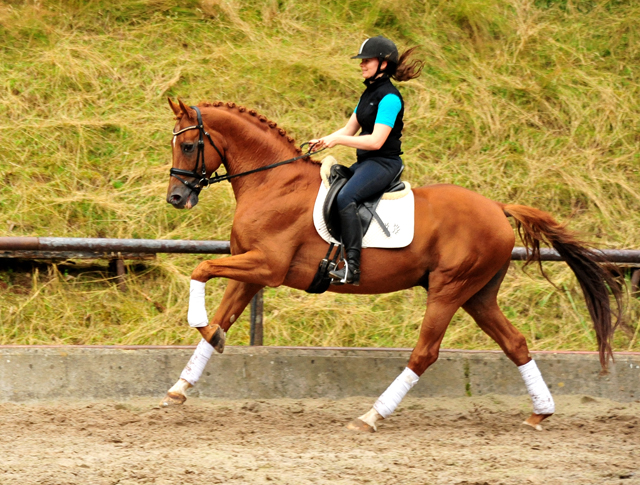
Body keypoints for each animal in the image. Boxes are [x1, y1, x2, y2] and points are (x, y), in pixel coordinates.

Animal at [162, 98, 624, 432]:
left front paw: (201, 327)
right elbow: (220, 318)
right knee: (516, 344)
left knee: (425, 353)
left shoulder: (265, 267)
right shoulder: (250, 270)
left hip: (449, 289)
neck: (273, 182)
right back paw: (540, 412)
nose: (176, 199)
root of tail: (497, 207)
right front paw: (181, 384)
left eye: (189, 145)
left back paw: (372, 416)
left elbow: (201, 270)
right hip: (478, 295)